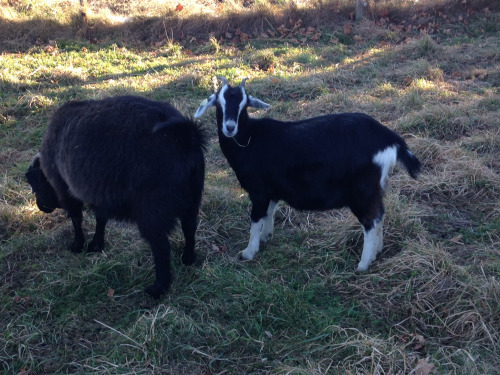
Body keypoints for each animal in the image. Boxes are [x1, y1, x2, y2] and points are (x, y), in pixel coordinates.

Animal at [26, 97, 207, 300]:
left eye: (34, 185)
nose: (41, 207)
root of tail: (187, 137)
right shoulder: (100, 193)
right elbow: (101, 219)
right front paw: (96, 245)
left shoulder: (65, 190)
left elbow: (76, 219)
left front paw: (78, 245)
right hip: (192, 200)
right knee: (189, 228)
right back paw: (188, 259)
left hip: (152, 211)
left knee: (161, 247)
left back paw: (157, 289)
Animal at [195, 78, 422, 272]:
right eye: (219, 104)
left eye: (244, 105)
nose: (230, 127)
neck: (250, 139)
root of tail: (388, 138)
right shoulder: (272, 190)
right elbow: (270, 213)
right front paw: (266, 236)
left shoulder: (259, 191)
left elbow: (256, 218)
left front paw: (249, 252)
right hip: (376, 187)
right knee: (380, 214)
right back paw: (378, 251)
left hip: (362, 190)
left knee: (371, 221)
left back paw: (364, 264)